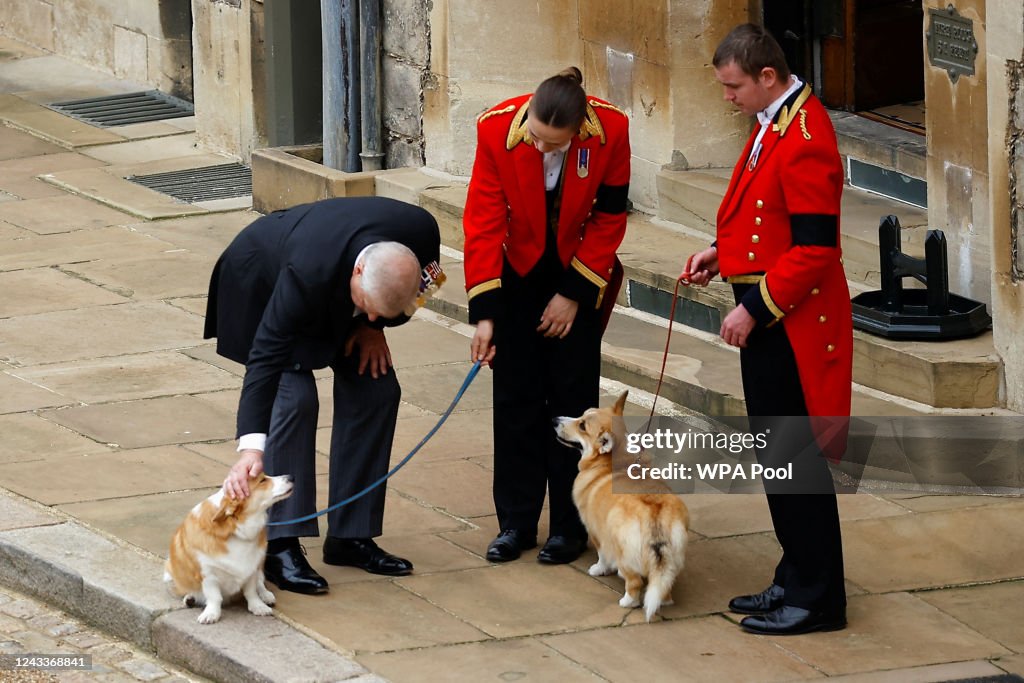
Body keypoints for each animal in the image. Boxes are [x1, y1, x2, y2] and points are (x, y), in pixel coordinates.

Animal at [162, 473, 292, 622]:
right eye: (262, 480)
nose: (291, 477)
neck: (235, 529)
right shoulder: (208, 574)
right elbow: (214, 597)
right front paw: (211, 614)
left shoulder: (252, 568)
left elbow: (251, 591)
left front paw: (258, 606)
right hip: (169, 573)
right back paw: (190, 598)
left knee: (260, 582)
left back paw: (265, 595)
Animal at [557, 393, 692, 622]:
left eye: (582, 425)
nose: (555, 420)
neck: (613, 462)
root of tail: (655, 515)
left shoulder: (596, 530)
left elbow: (602, 555)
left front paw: (598, 569)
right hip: (672, 559)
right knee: (663, 584)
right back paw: (664, 601)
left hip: (623, 549)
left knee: (634, 582)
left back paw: (627, 601)